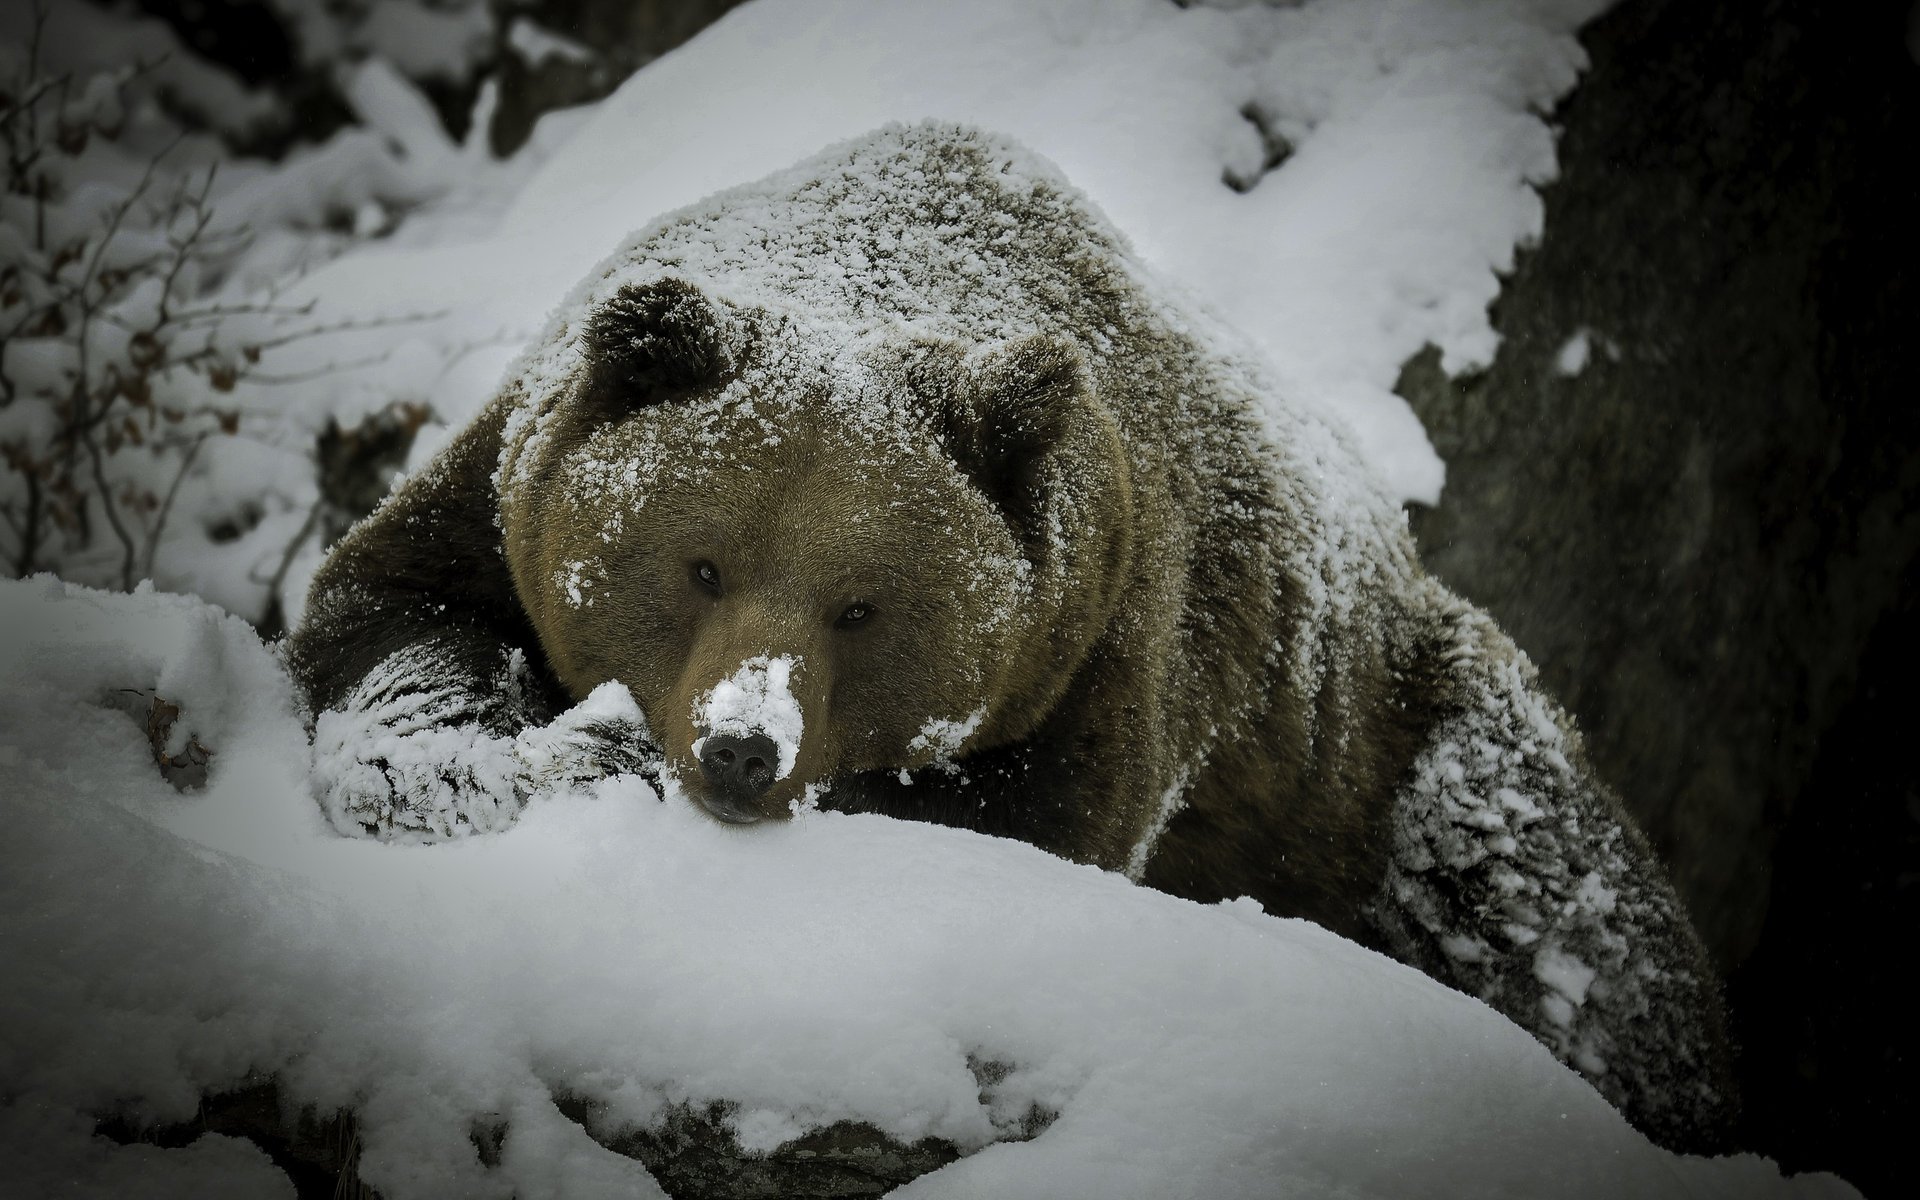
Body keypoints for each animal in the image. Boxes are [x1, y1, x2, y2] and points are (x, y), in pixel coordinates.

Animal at [287, 122, 1734, 1151]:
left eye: (861, 605)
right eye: (701, 564)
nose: (744, 748)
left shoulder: (1104, 649)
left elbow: (1021, 830)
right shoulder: (497, 494)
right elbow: (392, 632)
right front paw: (547, 753)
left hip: (1388, 751)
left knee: (1562, 921)